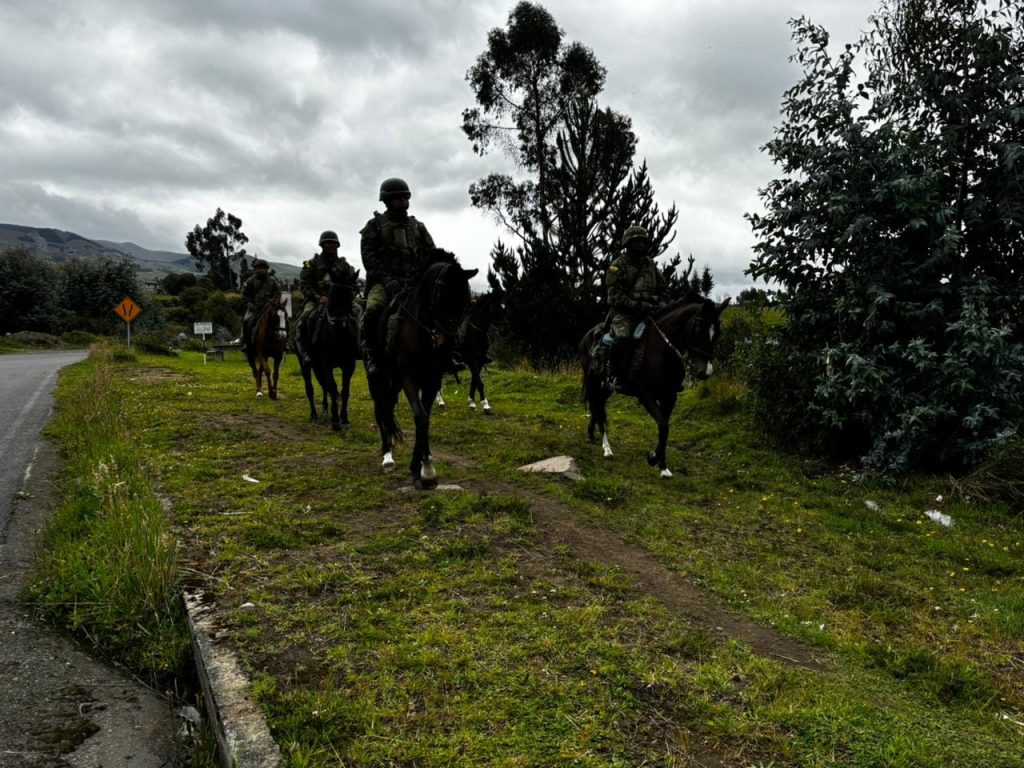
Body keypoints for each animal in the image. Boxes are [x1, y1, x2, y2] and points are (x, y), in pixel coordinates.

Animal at [299, 278, 362, 434]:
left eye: (349, 296)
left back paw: (325, 409)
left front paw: (344, 418)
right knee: (310, 388)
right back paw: (314, 414)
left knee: (323, 385)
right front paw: (335, 420)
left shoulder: (349, 364)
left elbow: (344, 391)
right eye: (331, 295)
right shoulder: (326, 363)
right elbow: (333, 388)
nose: (337, 323)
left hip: (317, 366)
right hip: (306, 364)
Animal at [364, 249, 479, 489]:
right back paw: (387, 455)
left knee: (387, 408)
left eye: (465, 301)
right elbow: (421, 417)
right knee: (380, 410)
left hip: (394, 382)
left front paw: (418, 467)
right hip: (378, 379)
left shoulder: (431, 380)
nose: (448, 343)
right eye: (444, 295)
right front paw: (427, 470)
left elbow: (425, 419)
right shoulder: (409, 379)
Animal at [581, 296, 733, 479]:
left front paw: (659, 462)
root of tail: (588, 334)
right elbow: (663, 425)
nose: (706, 372)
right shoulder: (646, 395)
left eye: (718, 333)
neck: (663, 351)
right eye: (698, 330)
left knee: (598, 404)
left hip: (608, 387)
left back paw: (592, 435)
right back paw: (606, 448)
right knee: (596, 405)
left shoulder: (669, 397)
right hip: (593, 379)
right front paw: (655, 460)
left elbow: (664, 428)